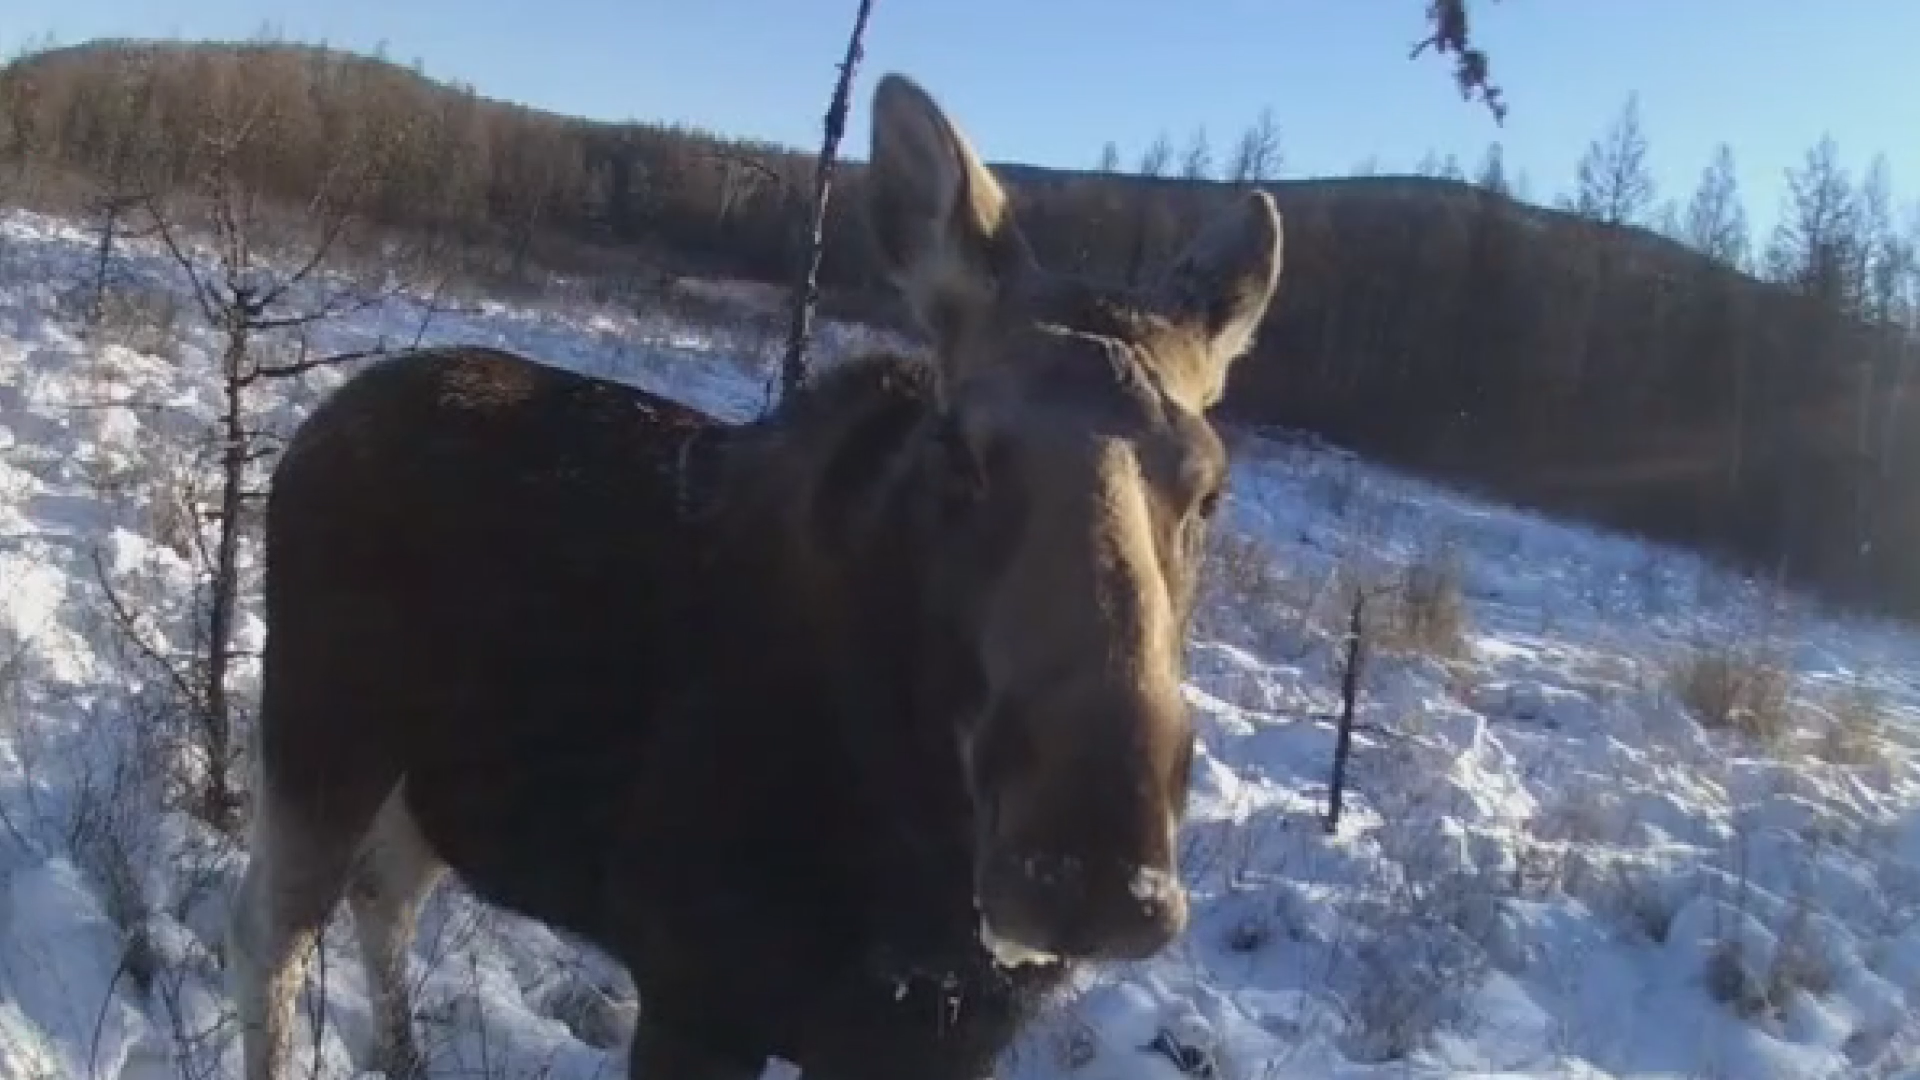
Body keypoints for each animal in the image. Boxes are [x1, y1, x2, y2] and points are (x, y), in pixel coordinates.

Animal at [232, 71, 1282, 1068]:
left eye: (1210, 489)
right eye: (958, 449)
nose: (1092, 869)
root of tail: (320, 421)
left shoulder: (933, 1042)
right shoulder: (696, 985)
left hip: (428, 776)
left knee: (385, 894)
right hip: (320, 731)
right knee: (273, 931)